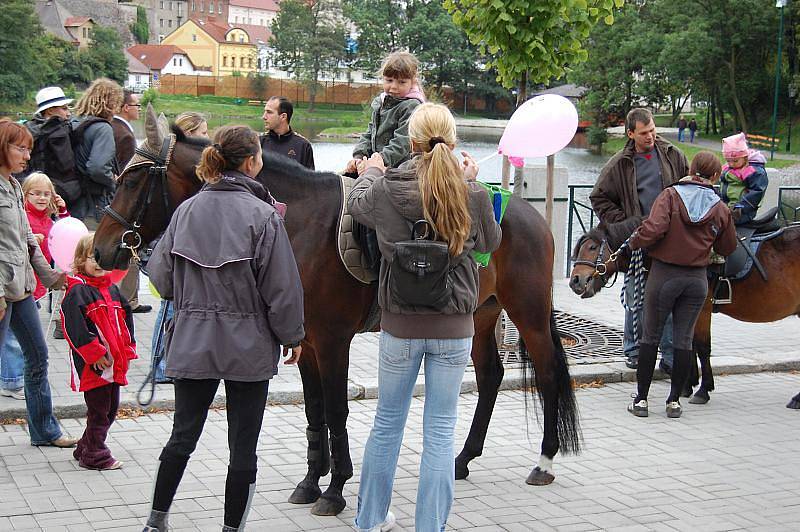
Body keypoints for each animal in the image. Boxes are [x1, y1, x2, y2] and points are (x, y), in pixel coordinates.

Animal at [94, 114, 580, 516]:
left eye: (133, 179)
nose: (100, 248)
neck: (298, 225)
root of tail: (528, 212)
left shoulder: (331, 341)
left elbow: (336, 410)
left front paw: (336, 488)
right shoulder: (306, 343)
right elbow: (315, 413)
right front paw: (312, 481)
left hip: (528, 313)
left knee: (549, 373)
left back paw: (544, 460)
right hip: (479, 317)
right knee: (491, 376)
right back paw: (461, 460)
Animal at [564, 223, 800, 408]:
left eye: (592, 247)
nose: (575, 280)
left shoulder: (702, 308)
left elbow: (702, 347)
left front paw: (703, 390)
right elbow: (690, 344)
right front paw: (688, 385)